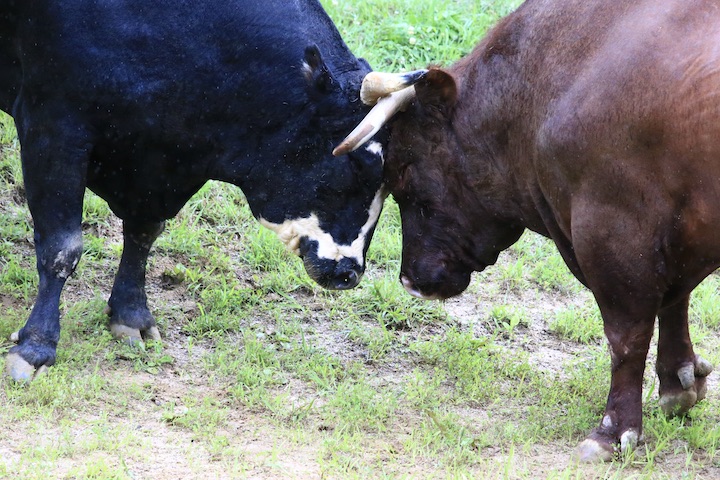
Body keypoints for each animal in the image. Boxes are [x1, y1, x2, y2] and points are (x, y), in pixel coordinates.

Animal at [336, 0, 720, 462]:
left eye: (403, 171)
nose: (410, 280)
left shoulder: (611, 231)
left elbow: (625, 335)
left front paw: (613, 432)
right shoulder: (668, 239)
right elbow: (674, 303)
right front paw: (679, 384)